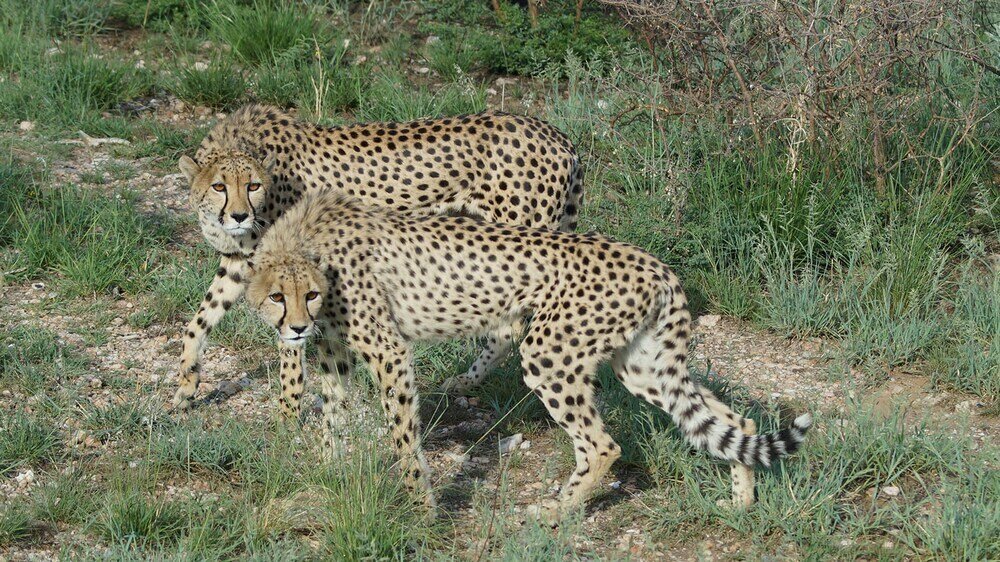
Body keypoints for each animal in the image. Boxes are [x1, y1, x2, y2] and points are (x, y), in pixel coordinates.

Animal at [172, 104, 583, 420]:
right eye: (219, 186)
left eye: (253, 185)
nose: (240, 216)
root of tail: (559, 136)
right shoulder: (241, 263)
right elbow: (200, 319)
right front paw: (186, 386)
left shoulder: (288, 267)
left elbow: (289, 346)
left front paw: (288, 412)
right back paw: (465, 382)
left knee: (510, 328)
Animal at [244, 190, 813, 521]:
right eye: (277, 296)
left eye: (306, 294)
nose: (296, 327)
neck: (306, 242)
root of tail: (654, 263)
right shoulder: (332, 353)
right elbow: (333, 415)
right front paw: (327, 473)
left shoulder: (389, 353)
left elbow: (404, 438)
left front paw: (420, 507)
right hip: (641, 364)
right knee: (729, 418)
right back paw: (741, 501)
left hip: (548, 352)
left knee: (602, 444)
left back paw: (556, 516)